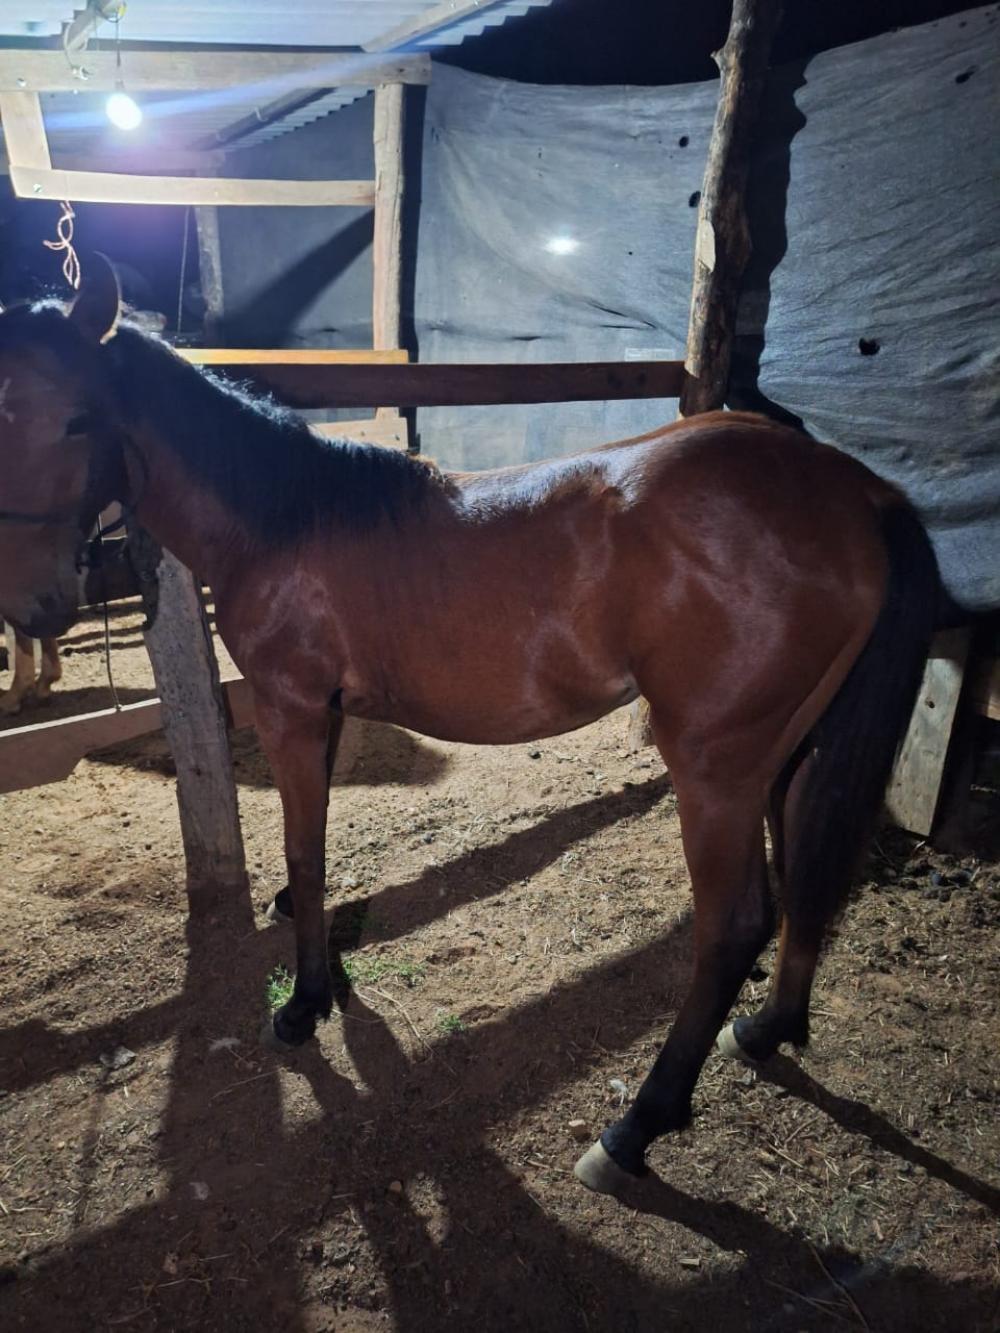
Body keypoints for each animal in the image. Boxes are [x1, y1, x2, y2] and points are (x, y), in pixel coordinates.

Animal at [0, 256, 938, 1196]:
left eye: (80, 418)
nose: (34, 607)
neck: (281, 519)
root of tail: (858, 491)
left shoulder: (287, 707)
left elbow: (304, 849)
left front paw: (304, 1003)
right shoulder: (325, 712)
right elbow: (317, 842)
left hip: (717, 769)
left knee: (736, 923)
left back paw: (636, 1125)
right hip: (791, 754)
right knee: (809, 869)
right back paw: (768, 1029)